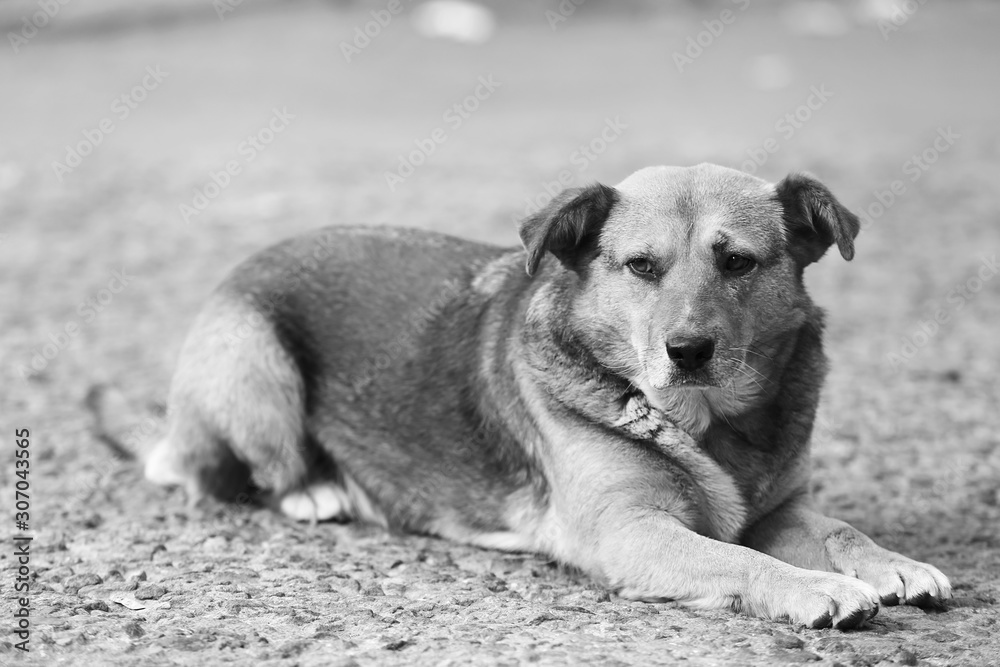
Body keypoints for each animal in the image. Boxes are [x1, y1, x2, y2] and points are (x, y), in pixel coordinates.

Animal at [125, 164, 952, 628]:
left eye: (739, 263)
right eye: (641, 266)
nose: (688, 351)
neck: (705, 423)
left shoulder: (778, 508)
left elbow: (841, 530)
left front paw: (893, 564)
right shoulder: (630, 531)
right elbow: (742, 560)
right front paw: (812, 587)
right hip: (255, 366)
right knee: (230, 474)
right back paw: (317, 490)